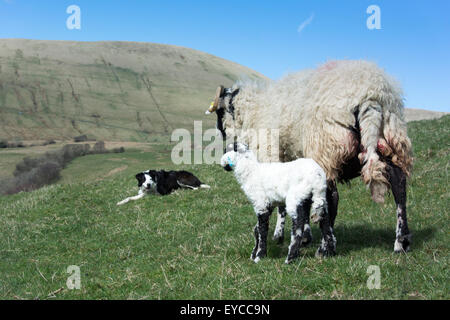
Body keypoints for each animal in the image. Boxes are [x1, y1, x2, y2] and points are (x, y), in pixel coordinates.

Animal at [206, 60, 414, 254]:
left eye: (219, 112)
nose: (220, 134)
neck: (253, 110)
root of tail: (371, 95)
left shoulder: (272, 157)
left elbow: (281, 204)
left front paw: (278, 235)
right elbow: (301, 201)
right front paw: (303, 235)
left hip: (325, 147)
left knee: (331, 197)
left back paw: (326, 247)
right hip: (391, 138)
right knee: (399, 185)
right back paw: (401, 242)